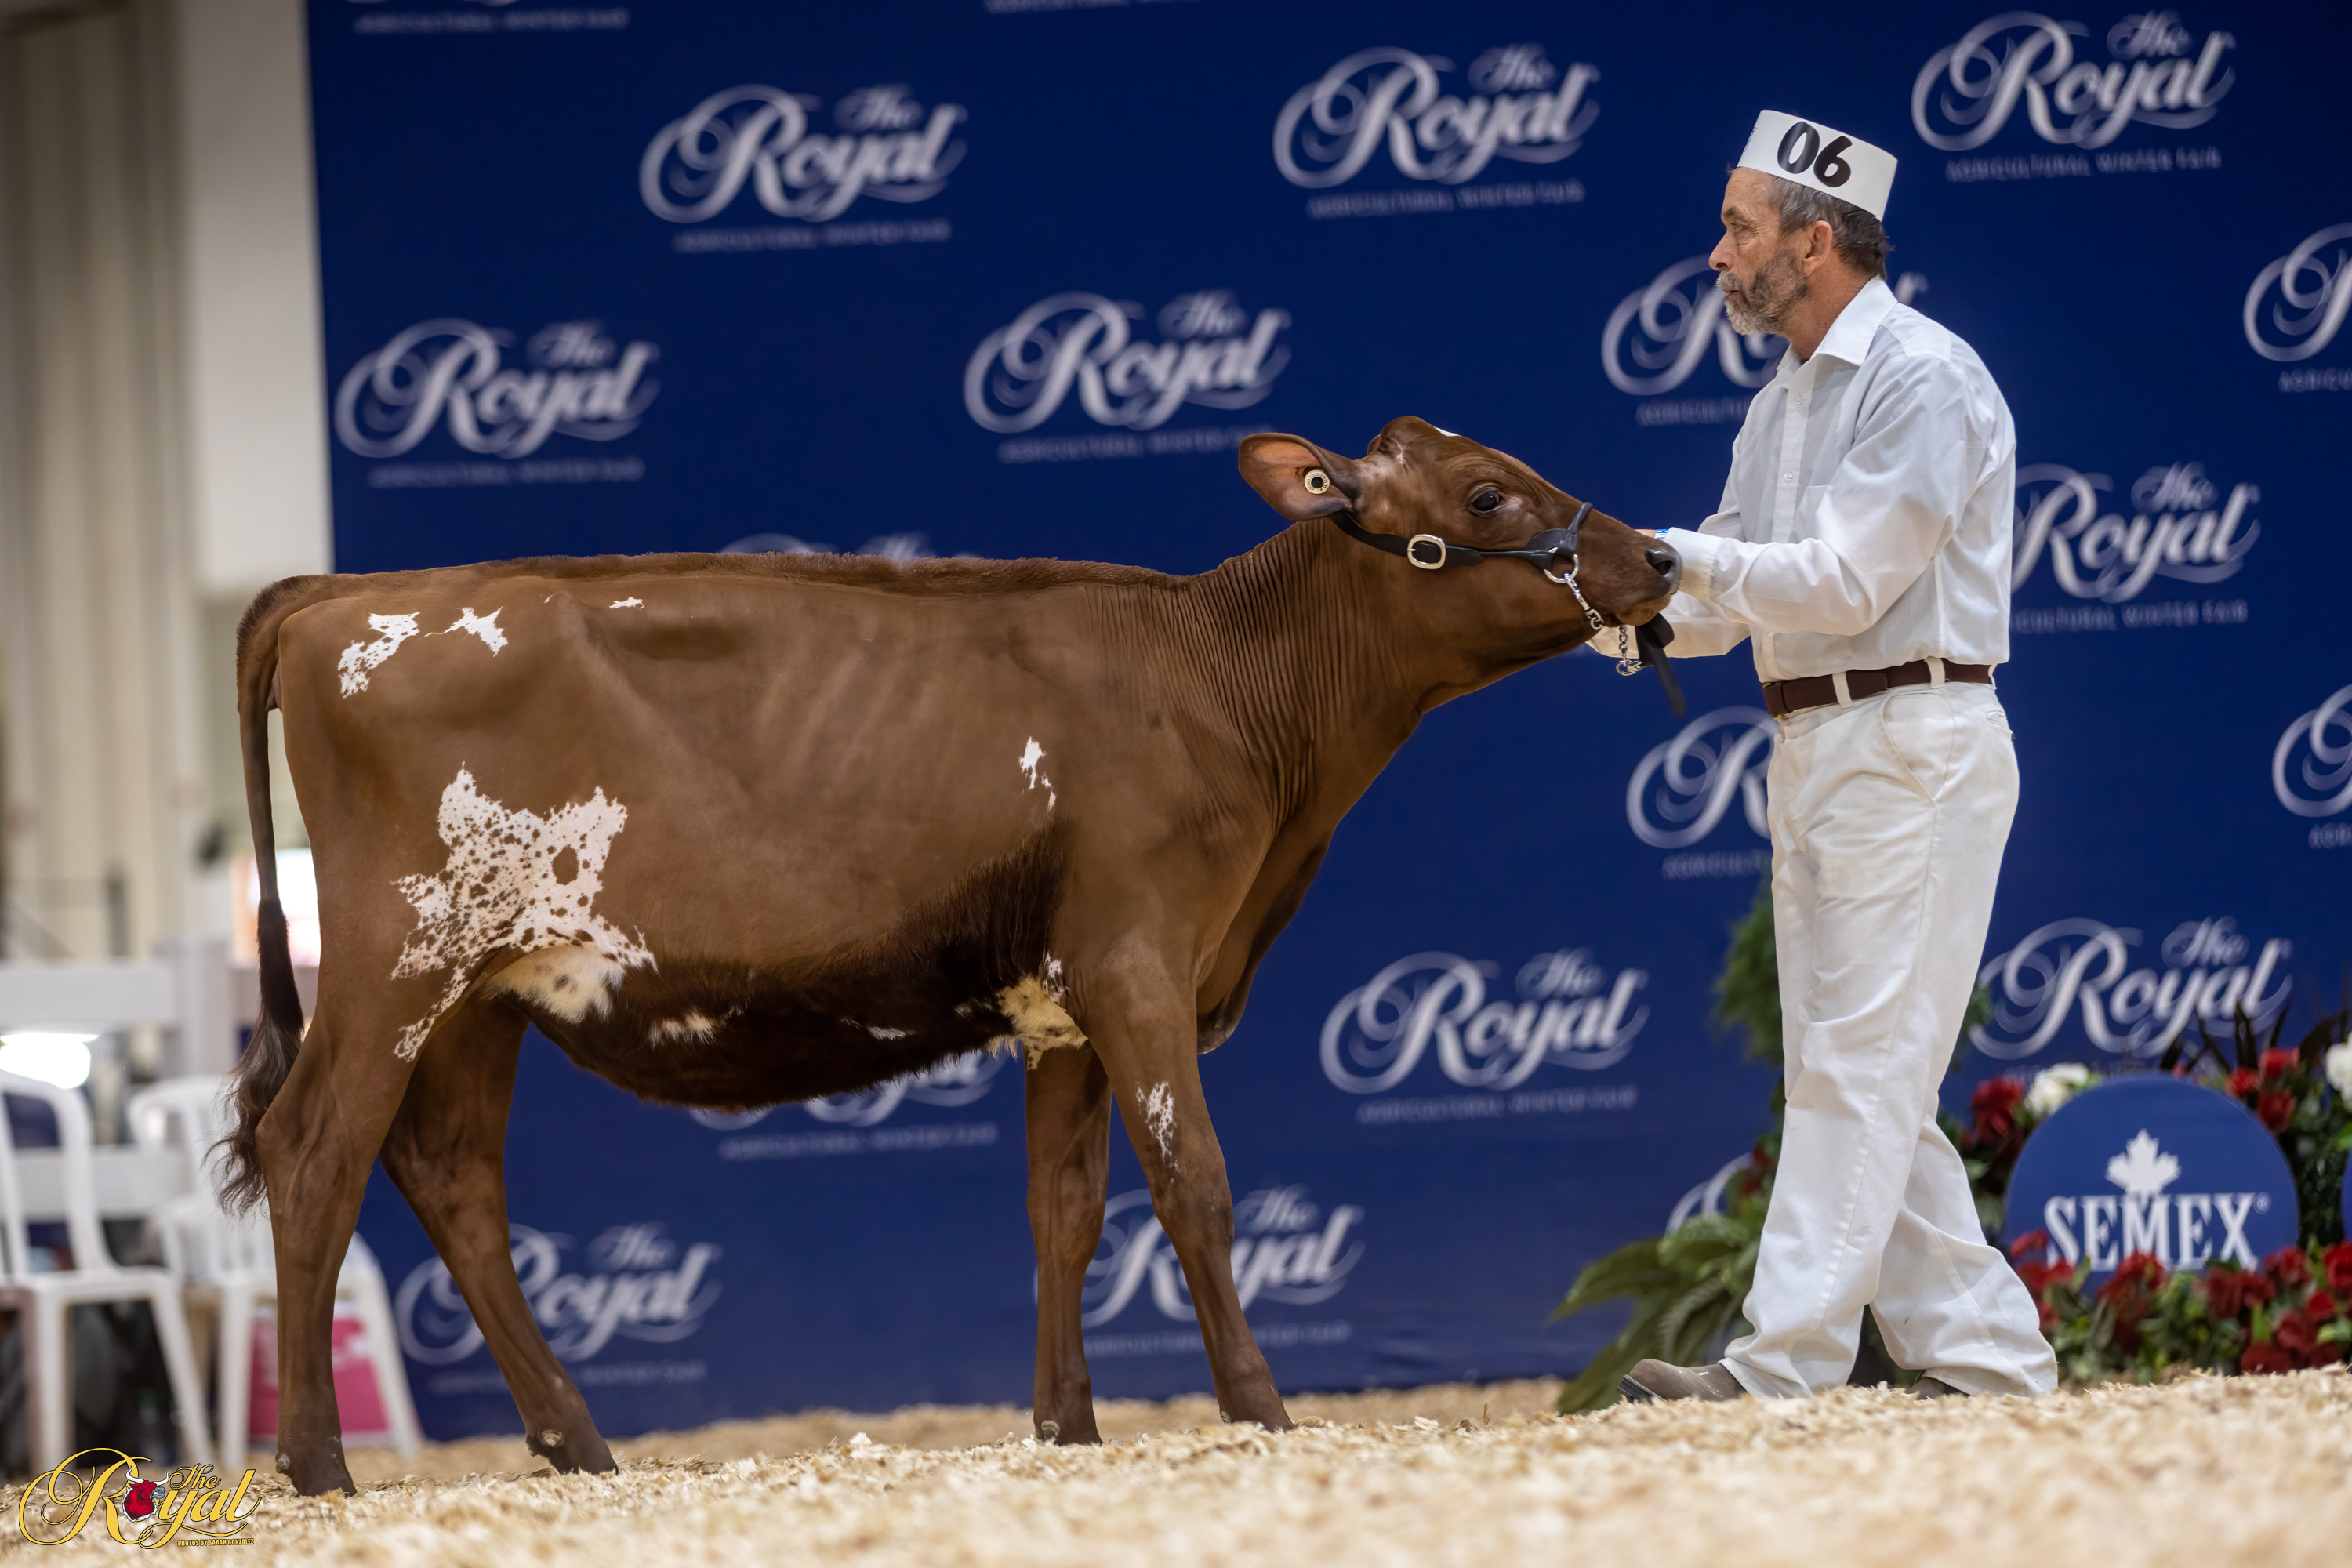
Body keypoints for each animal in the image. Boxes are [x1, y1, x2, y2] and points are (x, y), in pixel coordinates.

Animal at [221, 416, 1679, 1495]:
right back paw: (318, 1467)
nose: (1661, 559)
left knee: (452, 1177)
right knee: (316, 1152)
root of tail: (339, 593)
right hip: (399, 956)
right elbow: (1195, 1184)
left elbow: (1064, 1212)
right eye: (1489, 493)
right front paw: (1261, 1413)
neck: (1223, 688)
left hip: (485, 994)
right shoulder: (1139, 959)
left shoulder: (1065, 1004)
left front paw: (1068, 1429)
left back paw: (578, 1447)